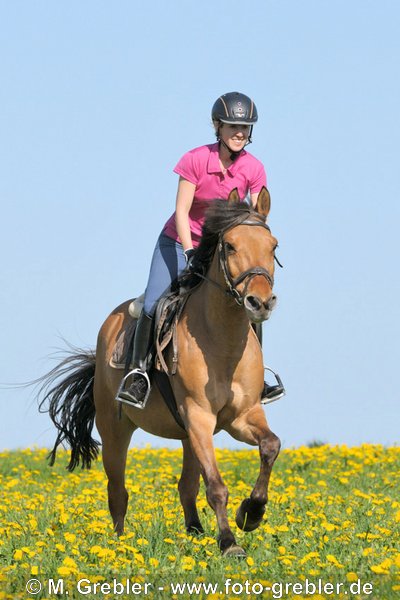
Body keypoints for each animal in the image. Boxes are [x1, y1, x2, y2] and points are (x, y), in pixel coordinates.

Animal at [38, 189, 282, 556]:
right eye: (229, 246)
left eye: (273, 247)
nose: (260, 302)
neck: (220, 341)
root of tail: (110, 323)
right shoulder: (199, 416)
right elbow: (216, 487)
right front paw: (229, 543)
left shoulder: (242, 416)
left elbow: (270, 446)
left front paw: (251, 514)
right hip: (116, 430)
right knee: (118, 492)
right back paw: (120, 547)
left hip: (187, 436)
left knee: (186, 487)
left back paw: (194, 534)